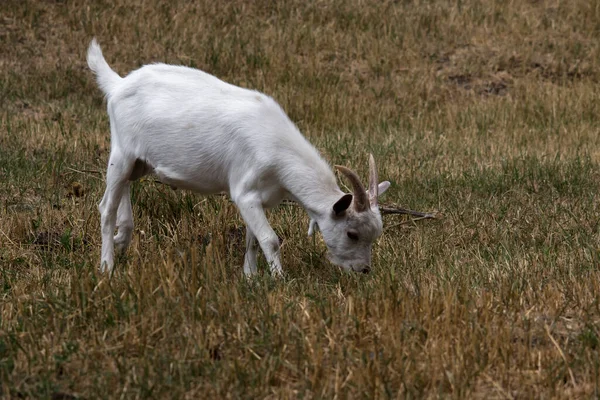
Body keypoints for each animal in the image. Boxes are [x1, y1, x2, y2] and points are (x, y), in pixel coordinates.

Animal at [86, 39, 392, 276]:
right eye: (352, 234)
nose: (364, 270)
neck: (276, 146)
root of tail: (117, 84)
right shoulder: (244, 191)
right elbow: (270, 239)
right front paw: (279, 280)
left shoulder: (259, 199)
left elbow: (252, 240)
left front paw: (250, 277)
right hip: (122, 151)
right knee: (106, 207)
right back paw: (106, 265)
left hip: (137, 161)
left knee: (124, 189)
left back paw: (122, 238)